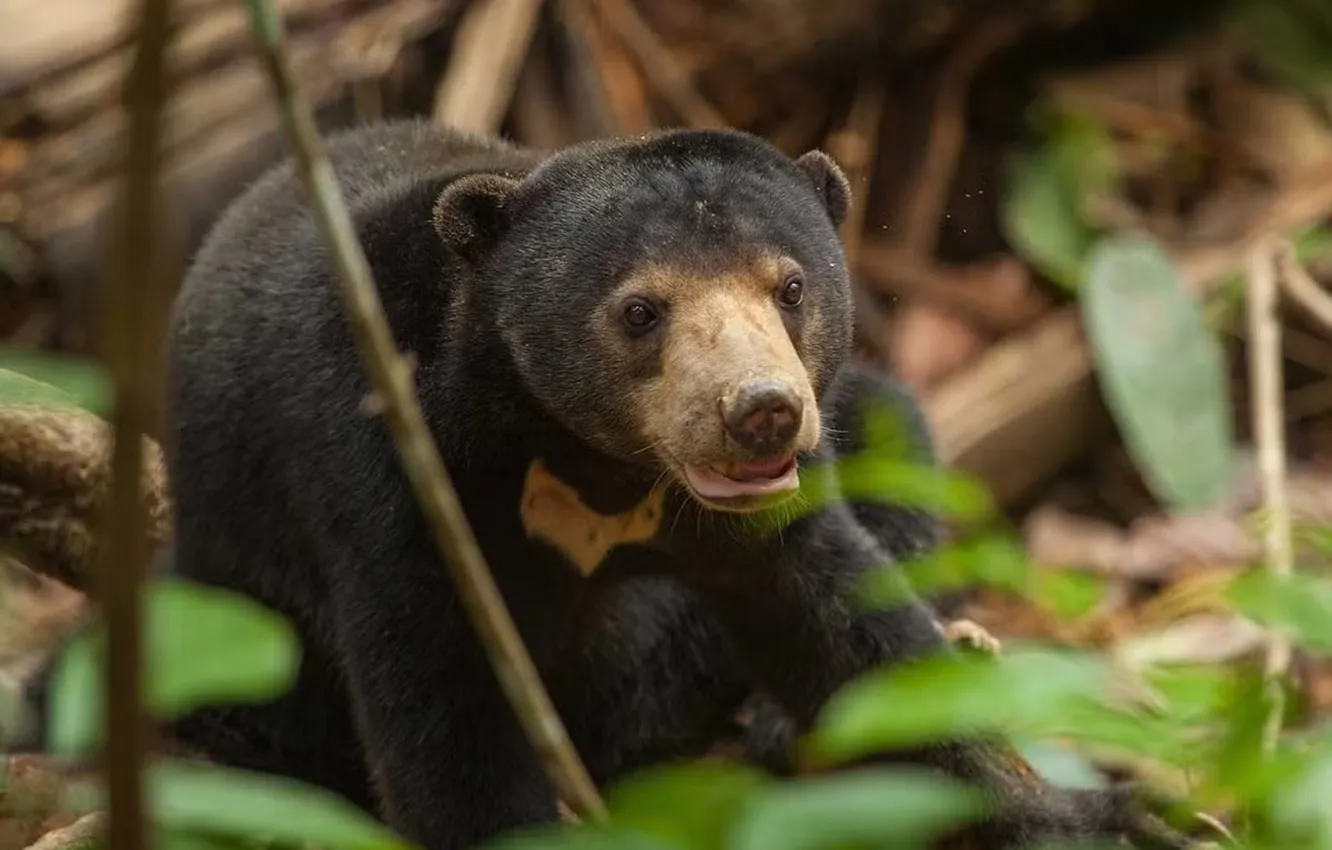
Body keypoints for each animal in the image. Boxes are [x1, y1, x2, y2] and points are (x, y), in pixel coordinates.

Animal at [18, 119, 1188, 850]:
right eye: (640, 310)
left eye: (790, 287)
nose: (761, 409)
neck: (590, 461)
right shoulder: (390, 485)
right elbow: (446, 725)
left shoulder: (771, 511)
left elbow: (855, 629)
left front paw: (1119, 819)